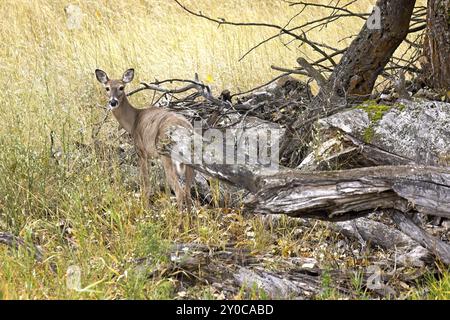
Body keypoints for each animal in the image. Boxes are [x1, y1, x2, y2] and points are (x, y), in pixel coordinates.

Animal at [95, 69, 193, 211]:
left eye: (121, 87)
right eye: (107, 88)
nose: (113, 102)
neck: (134, 120)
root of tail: (184, 129)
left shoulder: (141, 152)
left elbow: (145, 182)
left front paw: (145, 208)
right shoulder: (154, 156)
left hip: (167, 155)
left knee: (180, 192)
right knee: (188, 191)